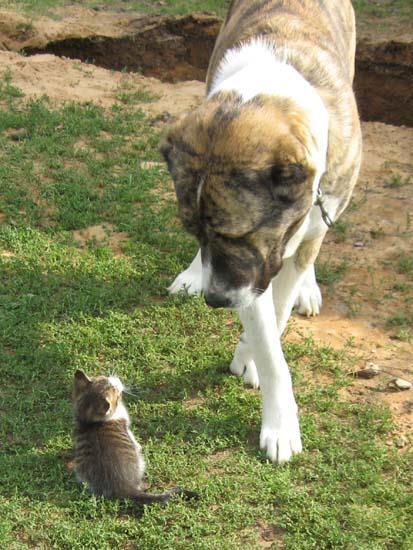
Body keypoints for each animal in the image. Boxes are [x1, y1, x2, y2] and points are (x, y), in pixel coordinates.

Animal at [72, 370, 198, 505]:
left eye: (105, 378)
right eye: (114, 389)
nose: (116, 380)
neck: (90, 421)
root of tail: (121, 486)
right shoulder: (127, 429)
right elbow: (135, 442)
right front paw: (139, 445)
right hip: (140, 463)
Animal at [161, 0, 362, 463]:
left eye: (238, 234)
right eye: (195, 233)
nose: (215, 300)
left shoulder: (263, 258)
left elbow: (279, 314)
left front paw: (250, 357)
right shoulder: (250, 273)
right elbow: (270, 346)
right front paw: (280, 422)